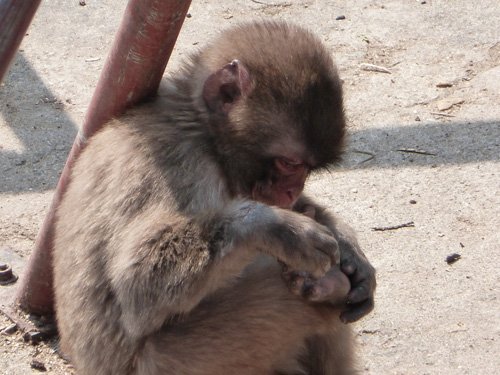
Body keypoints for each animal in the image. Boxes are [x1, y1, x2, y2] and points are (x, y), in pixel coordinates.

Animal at [53, 21, 376, 375]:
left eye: (307, 169)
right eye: (289, 163)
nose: (292, 189)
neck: (203, 134)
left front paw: (347, 246)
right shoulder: (178, 165)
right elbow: (138, 287)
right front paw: (273, 227)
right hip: (173, 361)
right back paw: (330, 288)